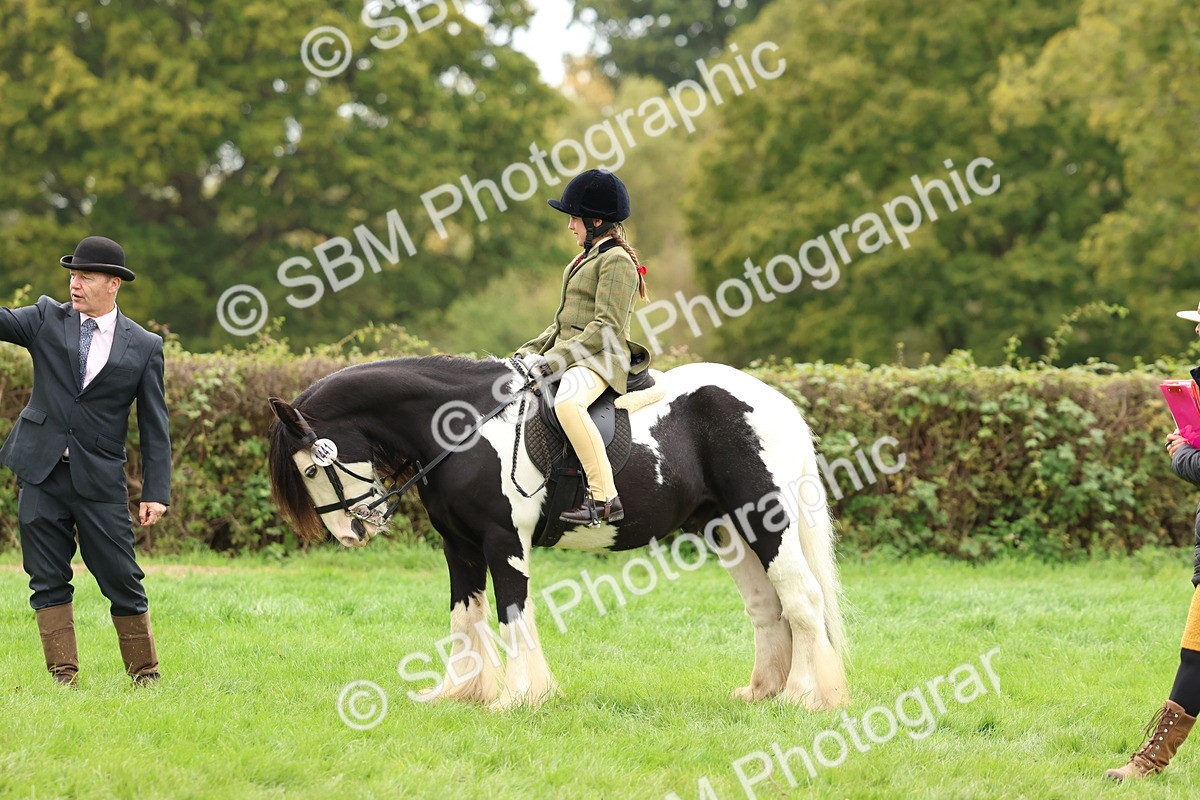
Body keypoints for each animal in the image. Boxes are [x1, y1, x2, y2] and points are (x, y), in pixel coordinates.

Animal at [267, 356, 849, 711]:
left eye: (313, 467)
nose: (351, 532)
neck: (465, 428)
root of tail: (773, 401)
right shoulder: (459, 547)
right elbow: (466, 617)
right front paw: (463, 693)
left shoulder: (503, 541)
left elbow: (512, 614)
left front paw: (520, 697)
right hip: (728, 529)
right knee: (768, 608)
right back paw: (762, 692)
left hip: (766, 520)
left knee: (802, 599)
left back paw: (801, 696)